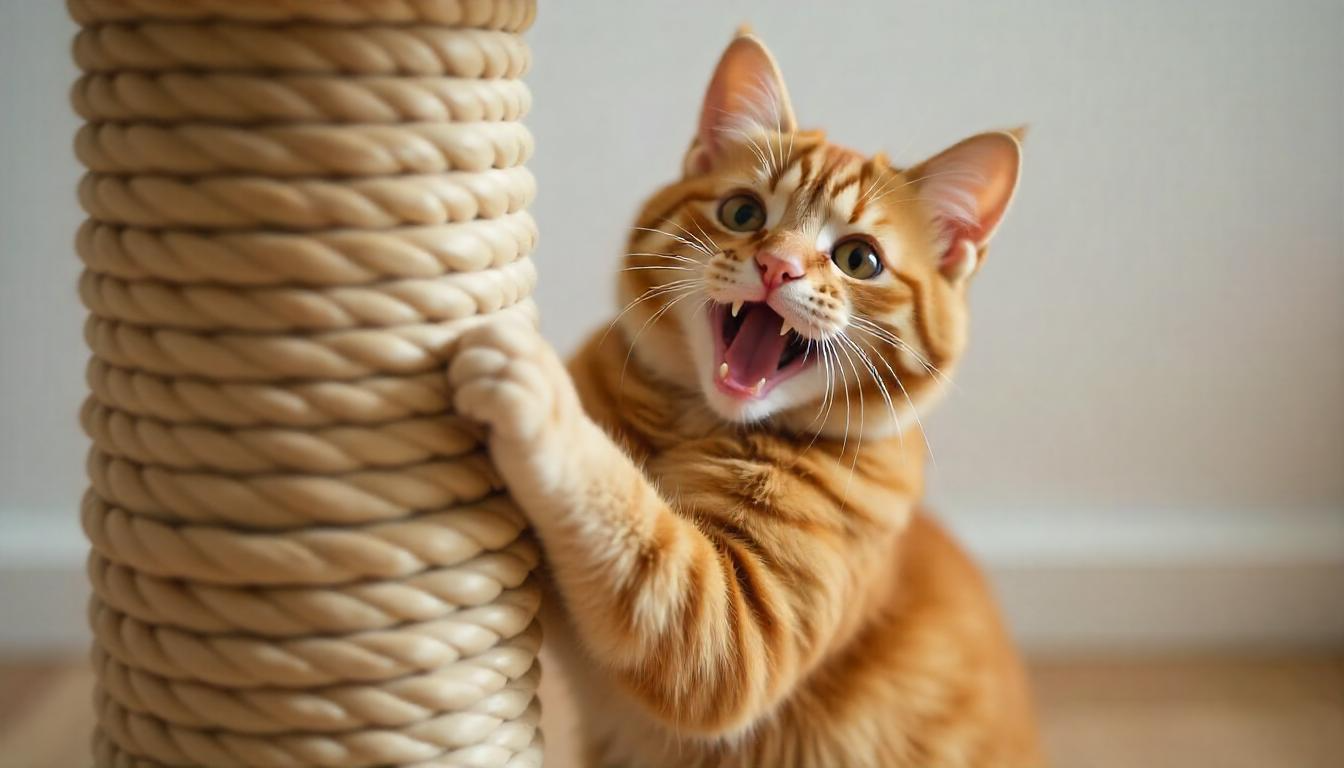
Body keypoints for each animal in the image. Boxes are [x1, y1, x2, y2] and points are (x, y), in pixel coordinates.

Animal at [451, 28, 1037, 768]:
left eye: (860, 259)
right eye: (743, 213)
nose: (777, 265)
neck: (692, 424)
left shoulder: (736, 626)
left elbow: (639, 530)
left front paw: (540, 397)